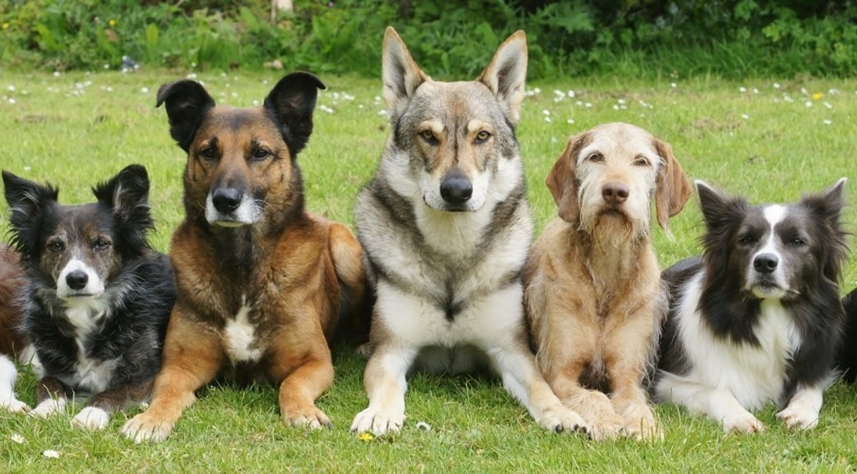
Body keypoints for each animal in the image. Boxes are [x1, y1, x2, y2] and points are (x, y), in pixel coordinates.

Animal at [520, 122, 696, 440]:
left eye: (641, 161)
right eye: (596, 156)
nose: (615, 191)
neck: (605, 273)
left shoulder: (627, 375)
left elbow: (634, 401)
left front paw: (644, 426)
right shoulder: (560, 373)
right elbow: (593, 395)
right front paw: (606, 421)